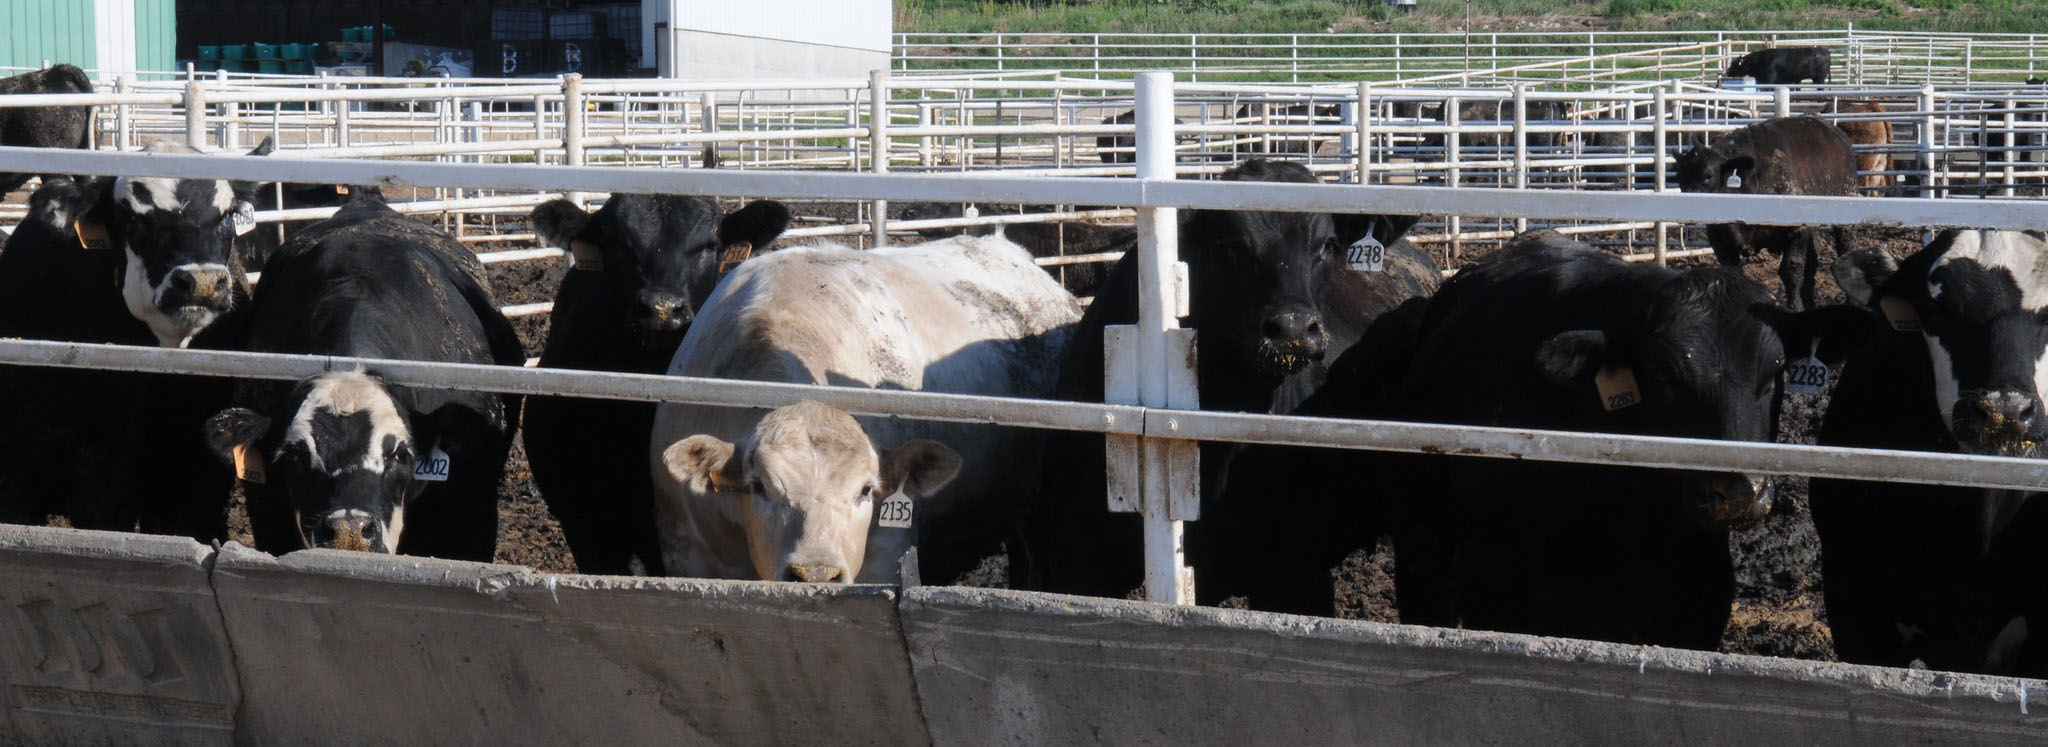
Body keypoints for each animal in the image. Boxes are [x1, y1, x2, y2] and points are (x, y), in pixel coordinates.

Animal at [1674, 114, 1858, 312]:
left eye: (1708, 177)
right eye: (1680, 178)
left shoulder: (1797, 230)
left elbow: (1791, 271)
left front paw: (1795, 307)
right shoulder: (1720, 242)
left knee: (1845, 248)